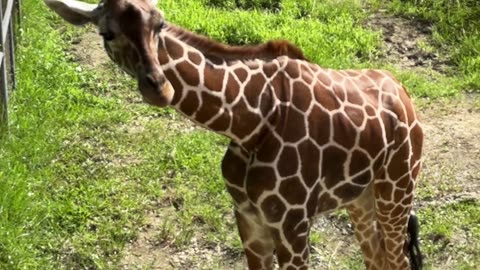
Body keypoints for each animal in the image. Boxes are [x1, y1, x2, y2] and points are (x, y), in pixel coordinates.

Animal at [45, 1, 426, 268]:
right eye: (106, 33)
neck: (250, 123)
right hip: (361, 198)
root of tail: (405, 96)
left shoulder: (292, 224)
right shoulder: (248, 218)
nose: (160, 89)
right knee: (378, 260)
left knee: (397, 260)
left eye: (160, 24)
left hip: (397, 188)